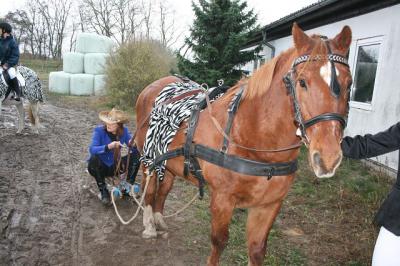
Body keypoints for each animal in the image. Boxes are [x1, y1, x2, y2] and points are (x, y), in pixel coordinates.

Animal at [135, 23, 354, 264]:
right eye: (302, 82)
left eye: (349, 84)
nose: (328, 157)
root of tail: (155, 85)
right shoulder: (222, 200)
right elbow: (219, 242)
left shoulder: (269, 204)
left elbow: (257, 250)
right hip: (148, 159)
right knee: (148, 189)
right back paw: (148, 225)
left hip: (169, 162)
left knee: (164, 188)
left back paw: (158, 219)